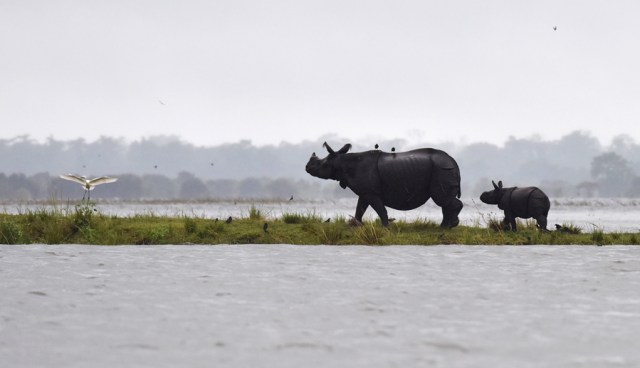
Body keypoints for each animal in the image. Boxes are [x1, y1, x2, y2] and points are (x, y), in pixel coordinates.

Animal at [306, 142, 464, 226]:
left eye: (322, 165)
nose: (307, 167)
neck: (342, 162)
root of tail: (454, 162)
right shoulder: (365, 191)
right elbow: (360, 208)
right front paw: (355, 225)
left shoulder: (371, 192)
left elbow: (380, 209)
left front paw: (385, 227)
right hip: (442, 169)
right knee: (444, 201)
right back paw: (449, 225)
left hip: (441, 170)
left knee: (442, 199)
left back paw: (445, 227)